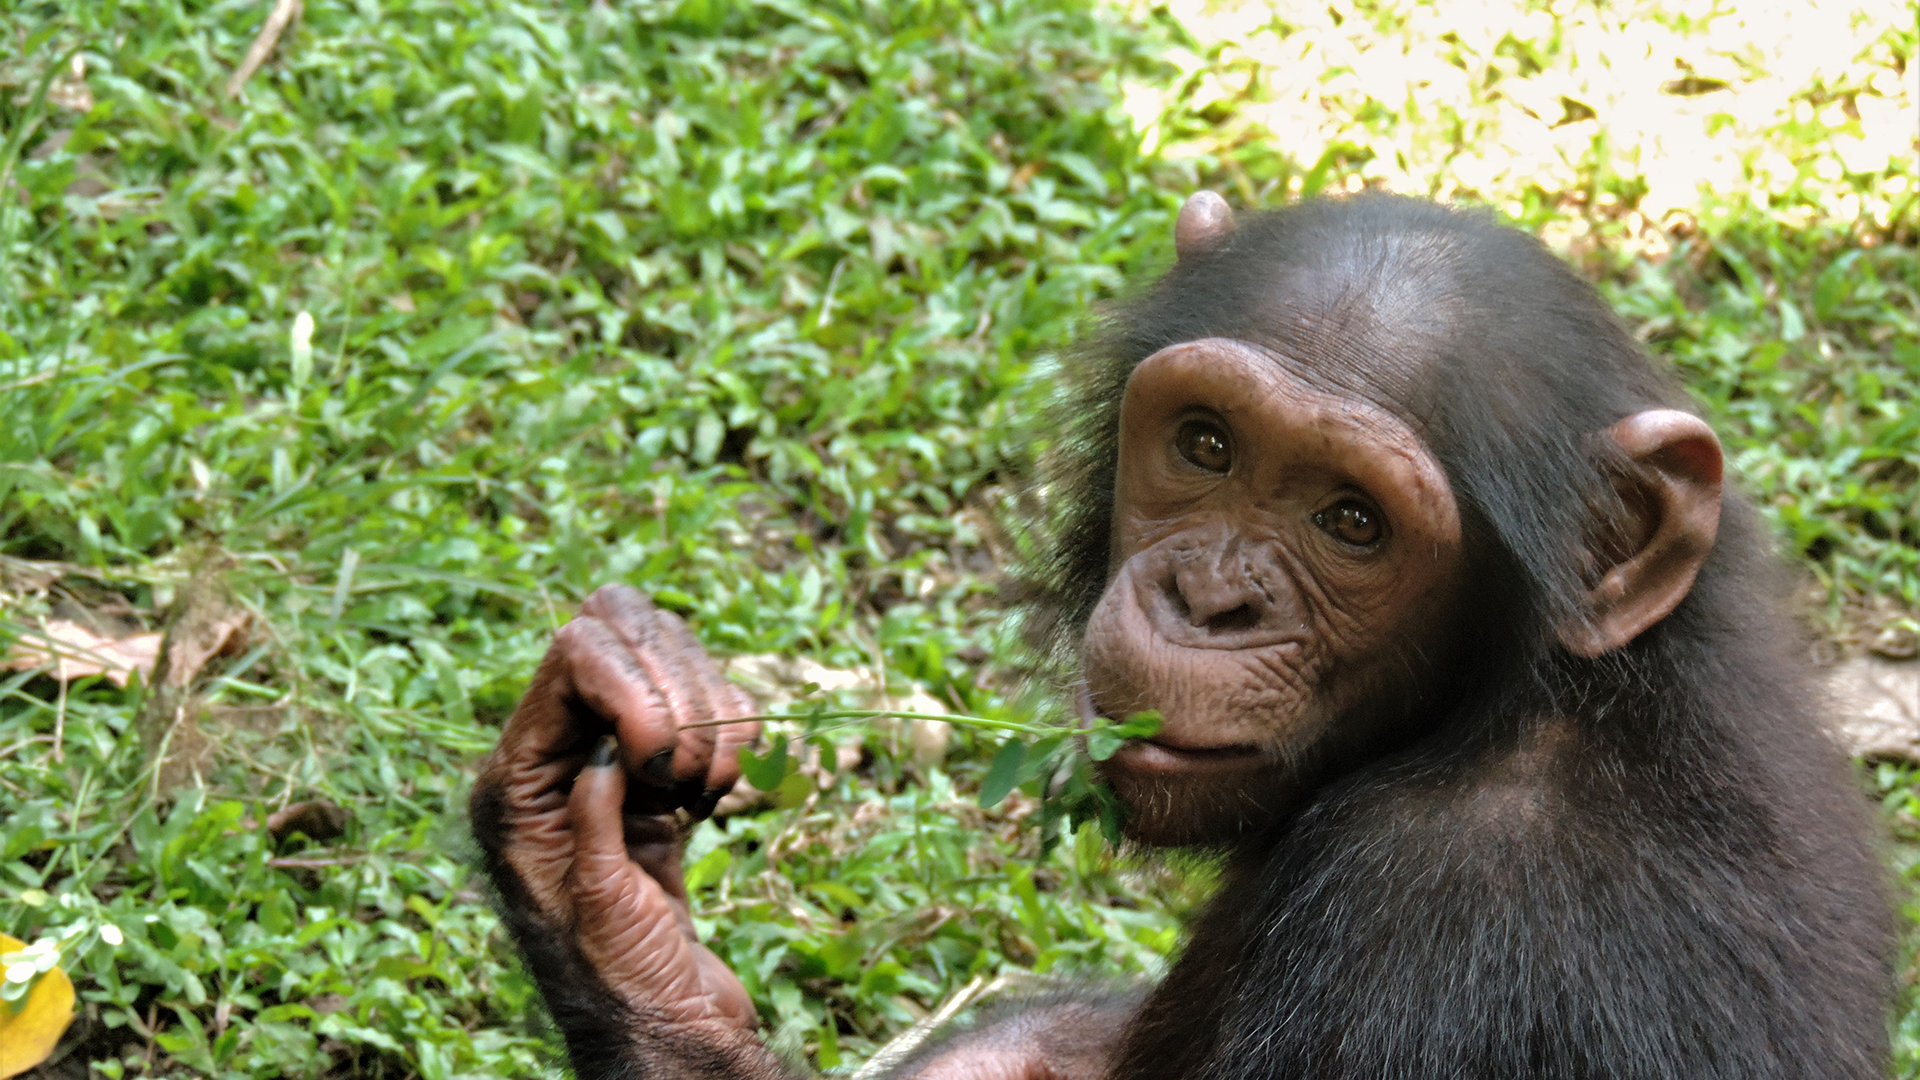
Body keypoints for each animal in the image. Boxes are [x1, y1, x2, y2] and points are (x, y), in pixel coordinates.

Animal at [468, 193, 1889, 1076]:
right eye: (1207, 446)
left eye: (1352, 522)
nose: (1209, 600)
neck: (1507, 711)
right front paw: (592, 839)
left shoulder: (1425, 913)